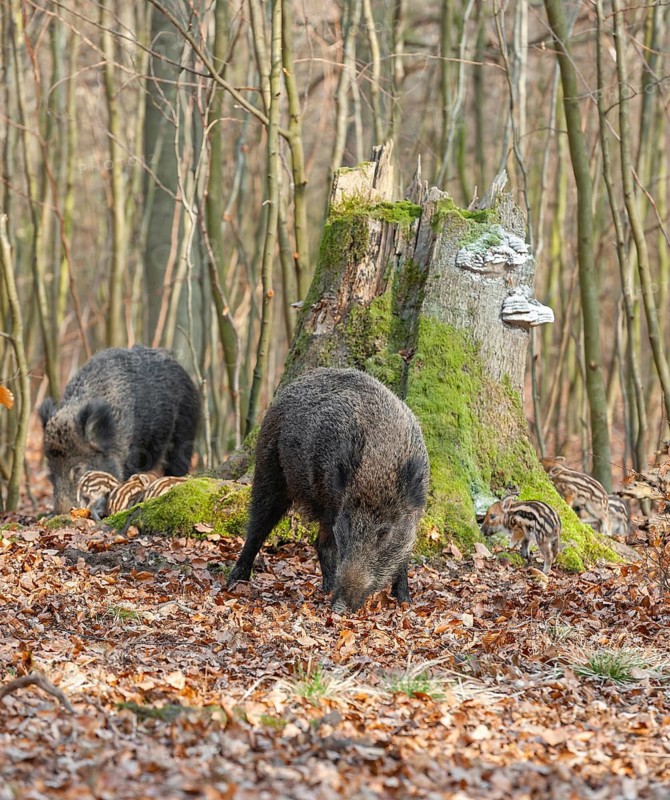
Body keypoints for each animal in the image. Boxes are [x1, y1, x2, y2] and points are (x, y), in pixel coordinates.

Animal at [227, 368, 430, 612]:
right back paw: (235, 581)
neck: (380, 461)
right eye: (348, 526)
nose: (340, 607)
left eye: (383, 533)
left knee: (318, 542)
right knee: (258, 527)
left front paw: (405, 601)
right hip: (270, 470)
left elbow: (404, 556)